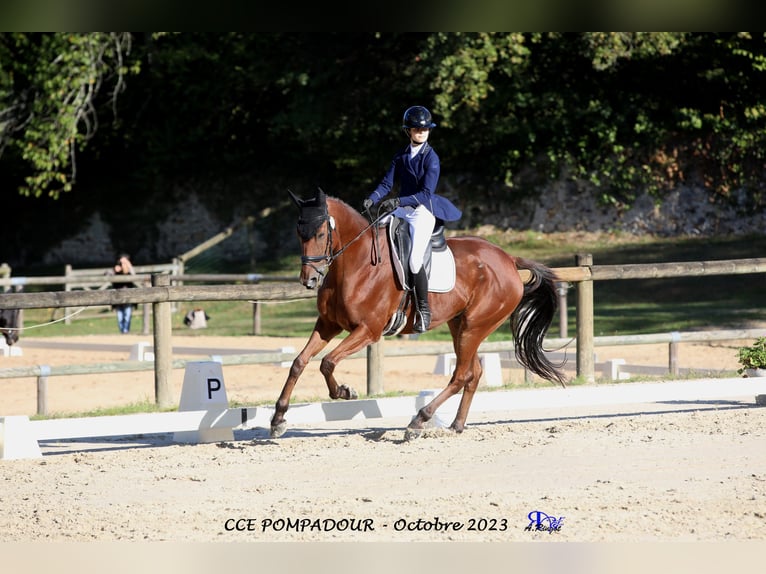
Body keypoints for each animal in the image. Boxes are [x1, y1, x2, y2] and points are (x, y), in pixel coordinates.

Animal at [272, 189, 568, 440]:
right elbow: (299, 362)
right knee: (473, 372)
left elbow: (327, 362)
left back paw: (418, 422)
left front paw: (345, 391)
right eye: (299, 232)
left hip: (475, 326)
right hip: (459, 325)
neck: (355, 264)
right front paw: (278, 419)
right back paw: (456, 425)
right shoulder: (328, 324)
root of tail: (508, 259)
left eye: (321, 234)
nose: (309, 280)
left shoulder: (368, 330)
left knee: (461, 375)